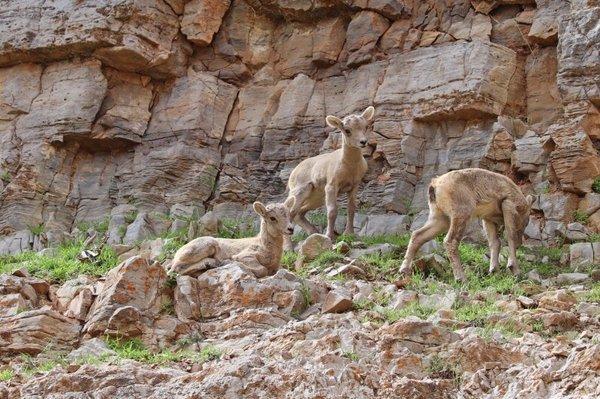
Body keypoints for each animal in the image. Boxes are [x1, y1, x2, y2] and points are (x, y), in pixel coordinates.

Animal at [282, 106, 376, 250]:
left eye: (365, 126)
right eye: (347, 130)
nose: (363, 142)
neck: (349, 167)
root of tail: (294, 172)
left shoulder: (354, 187)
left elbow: (351, 209)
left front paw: (349, 234)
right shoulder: (331, 186)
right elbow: (332, 211)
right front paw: (329, 237)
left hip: (316, 198)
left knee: (299, 213)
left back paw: (313, 233)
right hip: (300, 193)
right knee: (290, 212)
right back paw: (288, 247)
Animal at [400, 169, 532, 284]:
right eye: (526, 222)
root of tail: (434, 186)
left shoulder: (488, 219)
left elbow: (495, 242)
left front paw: (494, 270)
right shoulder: (508, 206)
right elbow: (511, 237)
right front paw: (515, 270)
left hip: (440, 218)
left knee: (418, 235)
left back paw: (404, 270)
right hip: (461, 214)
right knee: (450, 241)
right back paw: (461, 278)